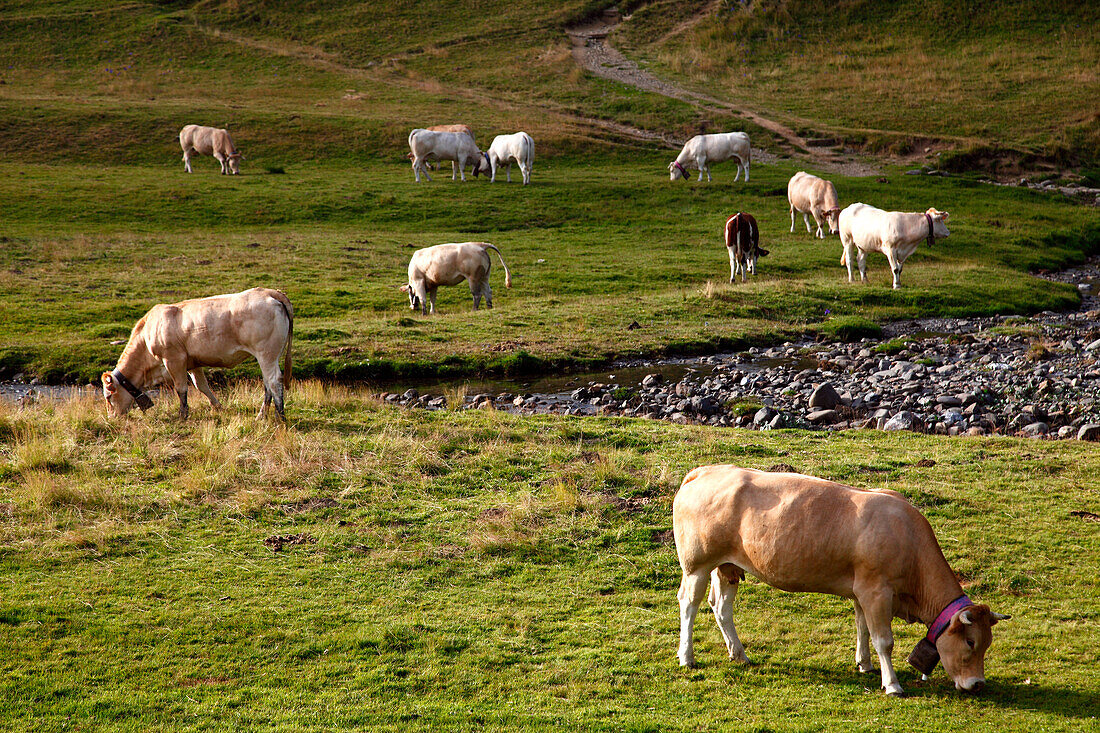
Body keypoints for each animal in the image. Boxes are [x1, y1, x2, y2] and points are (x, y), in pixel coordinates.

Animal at [101, 288, 292, 420]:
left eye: (109, 396)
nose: (112, 418)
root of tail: (269, 292)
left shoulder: (174, 360)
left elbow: (181, 388)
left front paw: (182, 415)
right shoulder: (193, 363)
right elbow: (201, 386)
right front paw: (217, 406)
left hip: (266, 354)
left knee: (274, 381)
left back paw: (279, 416)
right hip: (268, 356)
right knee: (267, 384)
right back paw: (262, 415)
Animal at [668, 464, 1007, 695]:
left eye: (987, 643)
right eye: (970, 641)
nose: (977, 684)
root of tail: (708, 470)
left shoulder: (861, 591)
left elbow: (863, 628)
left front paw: (865, 664)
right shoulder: (876, 591)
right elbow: (884, 639)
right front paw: (892, 684)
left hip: (727, 566)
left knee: (721, 607)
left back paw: (739, 654)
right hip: (696, 564)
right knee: (689, 604)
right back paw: (687, 657)